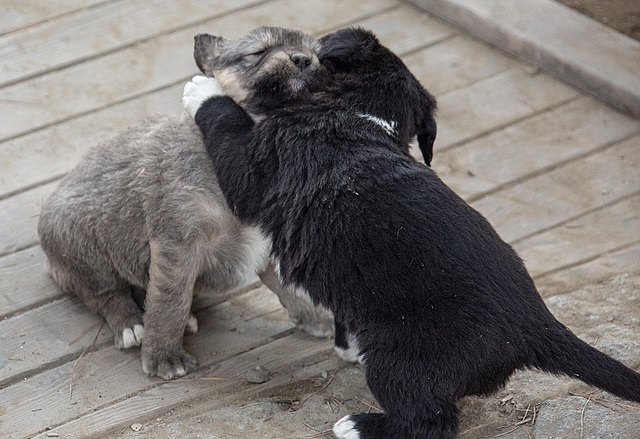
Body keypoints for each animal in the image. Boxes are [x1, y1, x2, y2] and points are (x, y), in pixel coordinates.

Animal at [37, 26, 332, 382]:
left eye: (315, 53)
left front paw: (316, 319)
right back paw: (131, 324)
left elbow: (291, 287)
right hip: (79, 244)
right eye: (258, 52)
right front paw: (163, 357)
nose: (302, 59)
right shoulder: (177, 243)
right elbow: (169, 302)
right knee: (105, 293)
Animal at [184, 28, 640, 439]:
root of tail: (535, 325)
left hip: (402, 363)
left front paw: (202, 89)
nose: (300, 57)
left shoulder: (252, 169)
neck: (360, 112)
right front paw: (349, 346)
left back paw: (359, 426)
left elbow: (224, 123)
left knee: (430, 422)